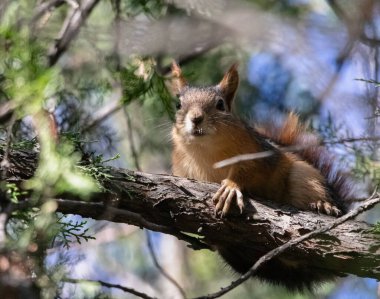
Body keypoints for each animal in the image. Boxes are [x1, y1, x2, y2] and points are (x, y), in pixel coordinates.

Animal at [169, 62, 354, 292]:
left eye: (220, 105)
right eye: (178, 104)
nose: (196, 119)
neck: (206, 151)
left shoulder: (261, 155)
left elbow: (250, 171)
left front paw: (231, 186)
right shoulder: (181, 169)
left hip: (304, 175)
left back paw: (324, 205)